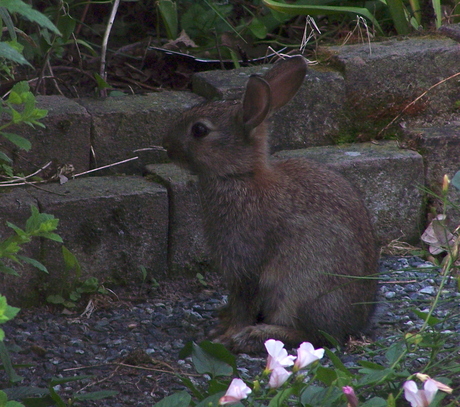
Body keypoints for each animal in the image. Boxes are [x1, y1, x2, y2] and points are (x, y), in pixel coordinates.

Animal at [164, 55, 380, 356]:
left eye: (199, 130)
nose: (166, 146)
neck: (240, 176)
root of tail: (355, 324)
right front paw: (222, 326)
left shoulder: (245, 265)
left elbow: (243, 303)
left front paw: (226, 335)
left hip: (299, 289)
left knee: (315, 337)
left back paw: (255, 336)